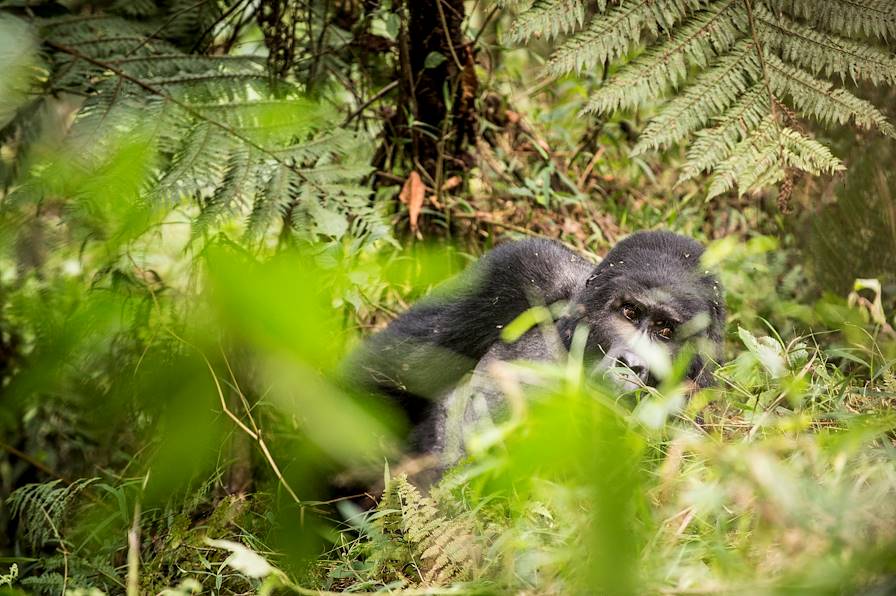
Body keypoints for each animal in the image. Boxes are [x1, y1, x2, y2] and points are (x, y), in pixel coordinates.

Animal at [346, 230, 724, 478]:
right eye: (629, 312)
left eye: (665, 331)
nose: (630, 364)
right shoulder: (523, 269)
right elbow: (389, 373)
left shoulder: (692, 406)